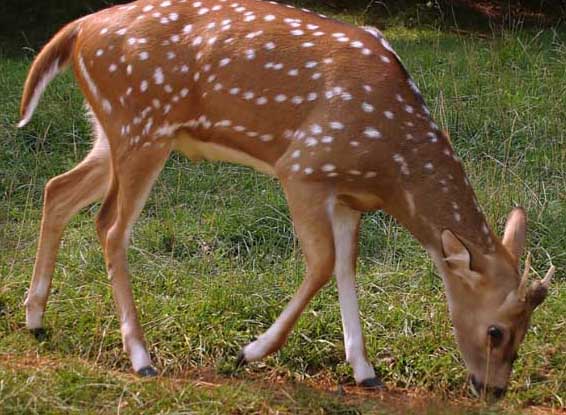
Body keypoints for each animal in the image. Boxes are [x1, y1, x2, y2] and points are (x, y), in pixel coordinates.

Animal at [17, 0, 556, 400]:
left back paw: (36, 319)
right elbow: (321, 264)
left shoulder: (348, 196)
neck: (388, 164)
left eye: (528, 327)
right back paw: (140, 357)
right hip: (140, 126)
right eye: (496, 331)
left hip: (111, 131)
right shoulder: (303, 167)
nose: (494, 390)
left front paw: (364, 369)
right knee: (110, 224)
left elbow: (348, 268)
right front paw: (249, 352)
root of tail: (76, 30)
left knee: (57, 189)